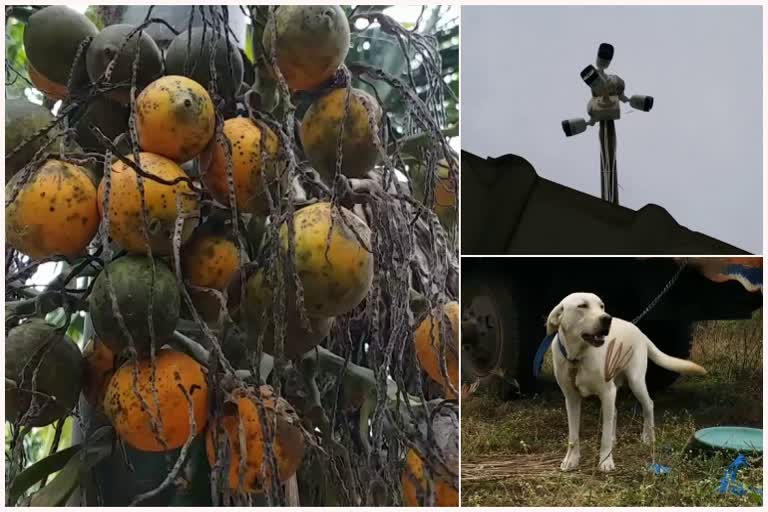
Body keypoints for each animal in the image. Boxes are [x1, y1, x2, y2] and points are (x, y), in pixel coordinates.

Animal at [548, 292, 704, 472]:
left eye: (602, 306)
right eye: (582, 306)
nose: (607, 318)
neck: (577, 358)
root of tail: (640, 332)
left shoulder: (607, 392)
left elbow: (604, 436)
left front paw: (606, 461)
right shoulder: (572, 398)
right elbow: (573, 436)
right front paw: (571, 460)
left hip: (635, 381)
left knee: (648, 405)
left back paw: (648, 436)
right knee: (614, 413)